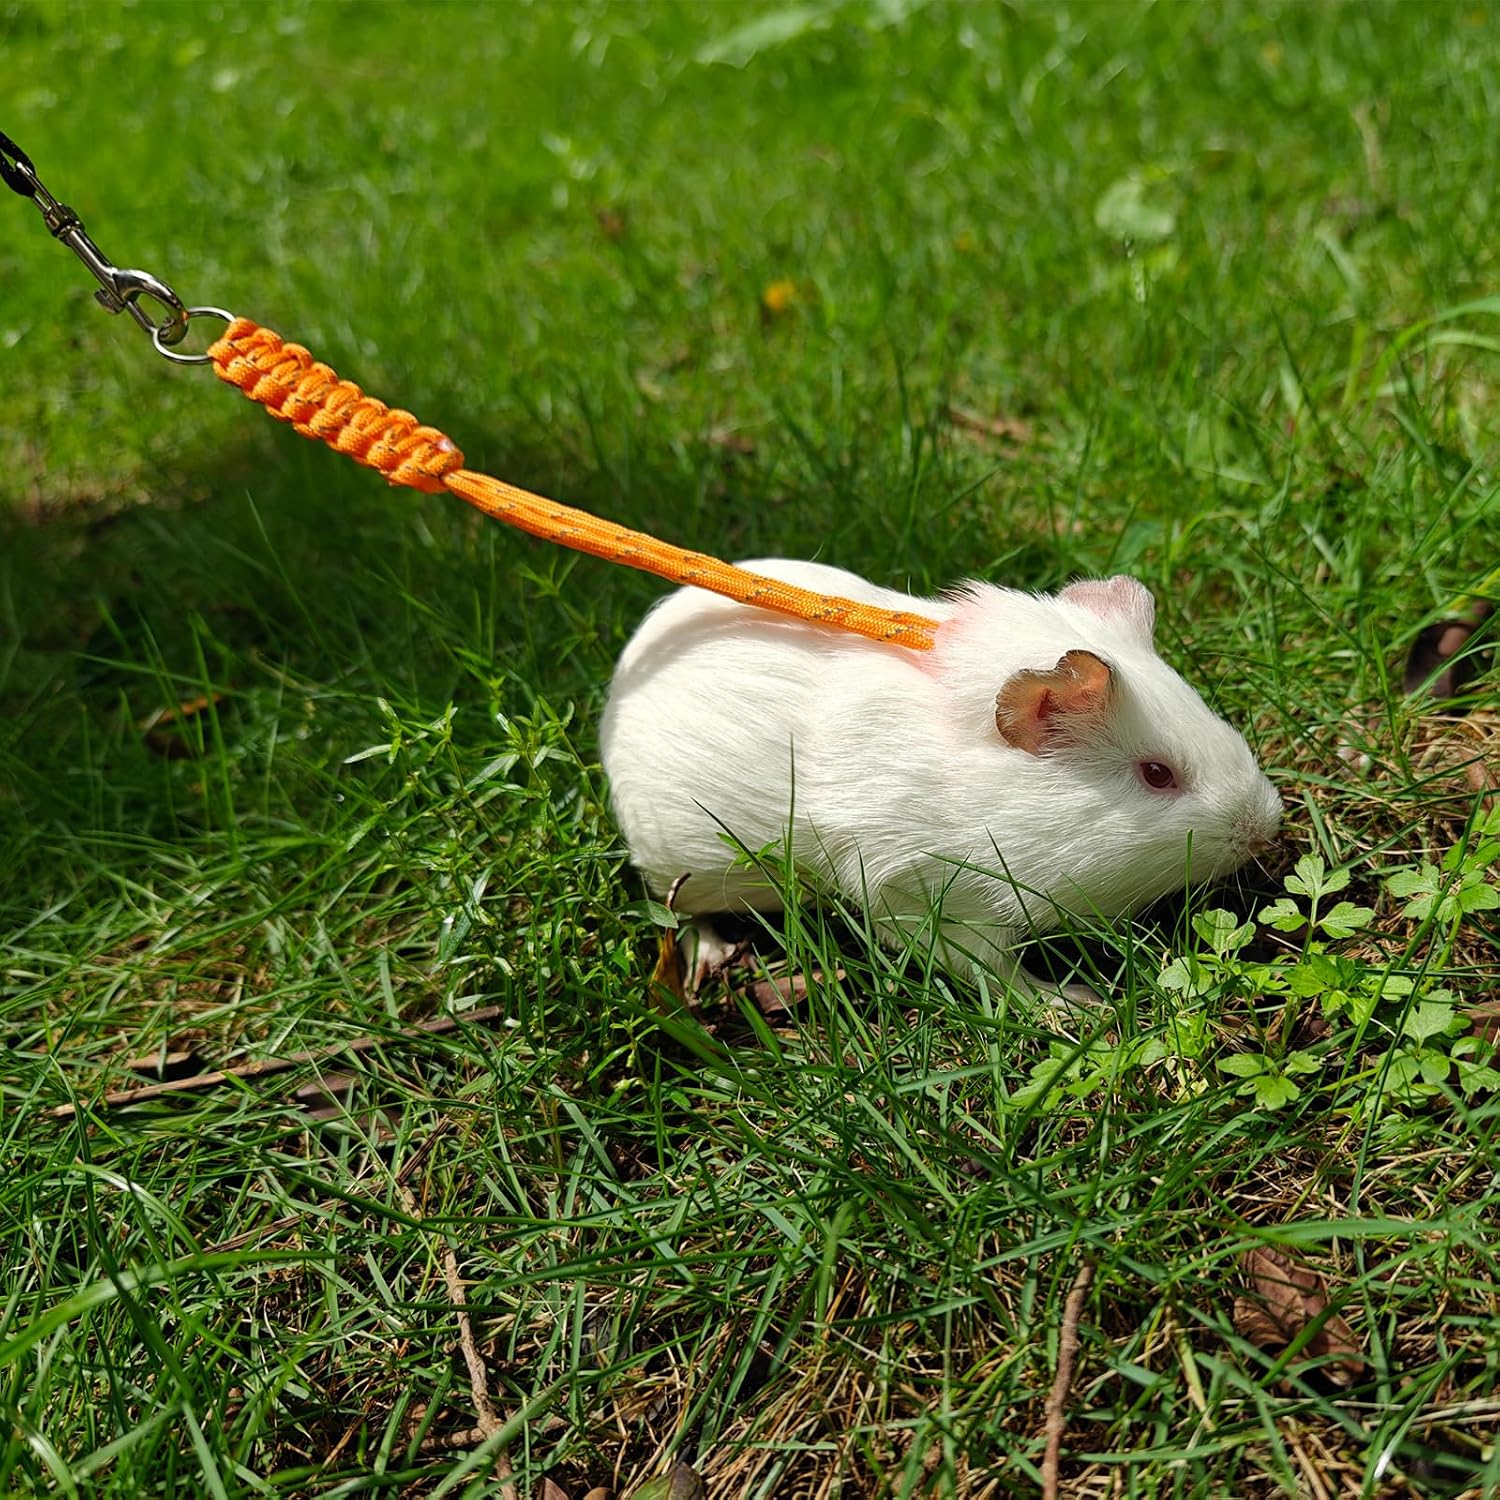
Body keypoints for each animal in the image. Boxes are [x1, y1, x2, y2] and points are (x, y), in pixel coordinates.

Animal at [600, 559, 1282, 998]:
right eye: (1157, 774)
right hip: (681, 870)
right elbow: (992, 970)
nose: (1265, 828)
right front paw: (1078, 1006)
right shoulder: (925, 900)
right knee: (682, 917)